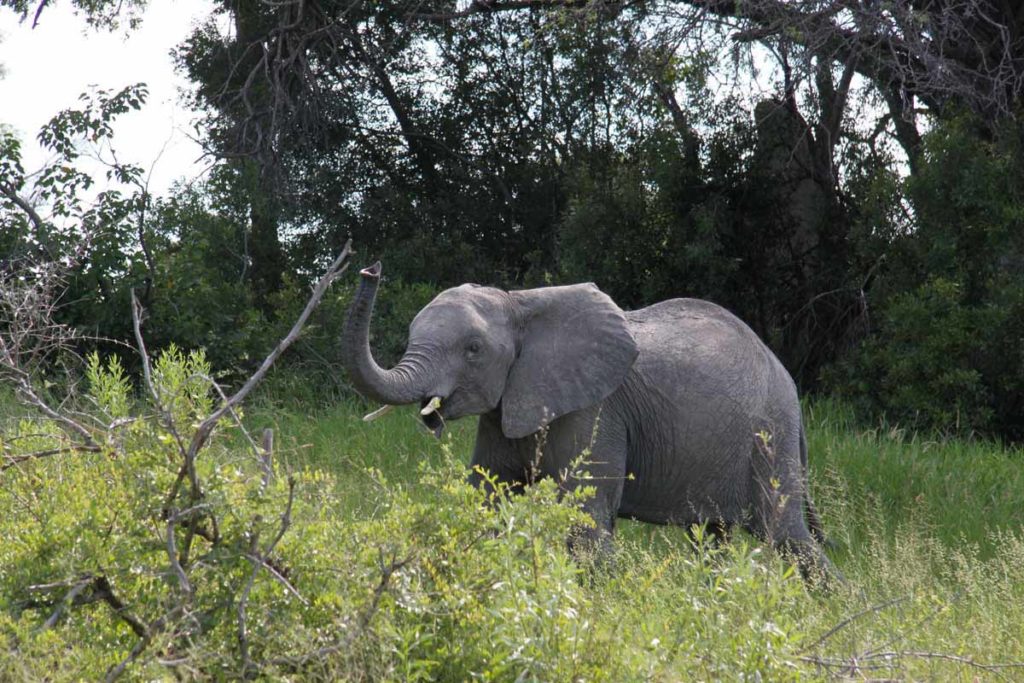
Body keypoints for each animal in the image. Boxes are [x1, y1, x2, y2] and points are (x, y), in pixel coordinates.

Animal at [344, 262, 839, 581]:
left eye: (473, 350)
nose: (371, 270)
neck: (520, 303)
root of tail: (786, 378)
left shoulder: (596, 409)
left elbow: (584, 521)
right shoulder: (507, 405)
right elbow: (485, 498)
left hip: (770, 432)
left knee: (786, 533)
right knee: (711, 534)